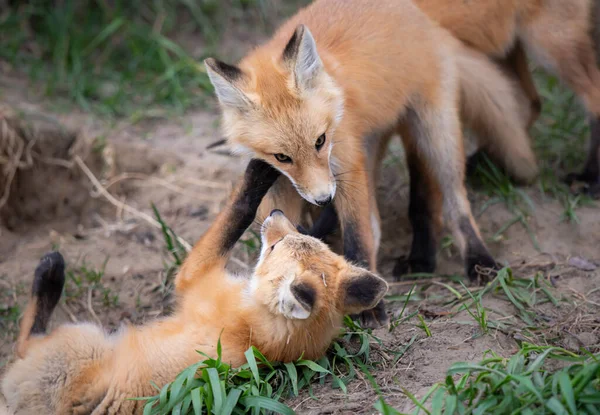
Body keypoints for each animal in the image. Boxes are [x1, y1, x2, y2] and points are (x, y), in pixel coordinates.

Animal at [1, 160, 390, 415]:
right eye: (287, 239)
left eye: (275, 247)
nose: (276, 213)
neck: (262, 339)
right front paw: (328, 214)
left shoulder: (194, 278)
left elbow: (237, 212)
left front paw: (258, 171)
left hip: (81, 340)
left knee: (24, 342)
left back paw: (51, 271)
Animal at [204, 0, 540, 326]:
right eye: (282, 157)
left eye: (320, 141)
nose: (323, 199)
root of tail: (420, 15)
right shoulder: (279, 179)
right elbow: (284, 229)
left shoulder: (347, 166)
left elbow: (358, 238)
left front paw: (369, 306)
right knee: (380, 221)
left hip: (434, 133)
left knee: (455, 205)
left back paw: (479, 260)